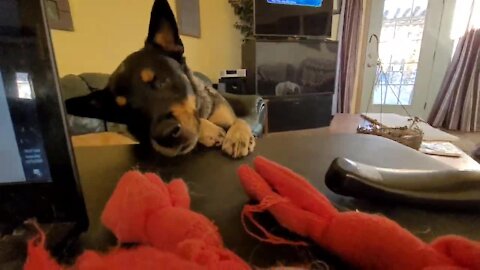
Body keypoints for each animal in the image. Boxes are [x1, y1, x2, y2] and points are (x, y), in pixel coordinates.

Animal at [67, 0, 256, 158]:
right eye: (126, 111)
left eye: (160, 81)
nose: (165, 134)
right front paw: (210, 131)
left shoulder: (226, 115)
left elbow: (239, 120)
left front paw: (239, 136)